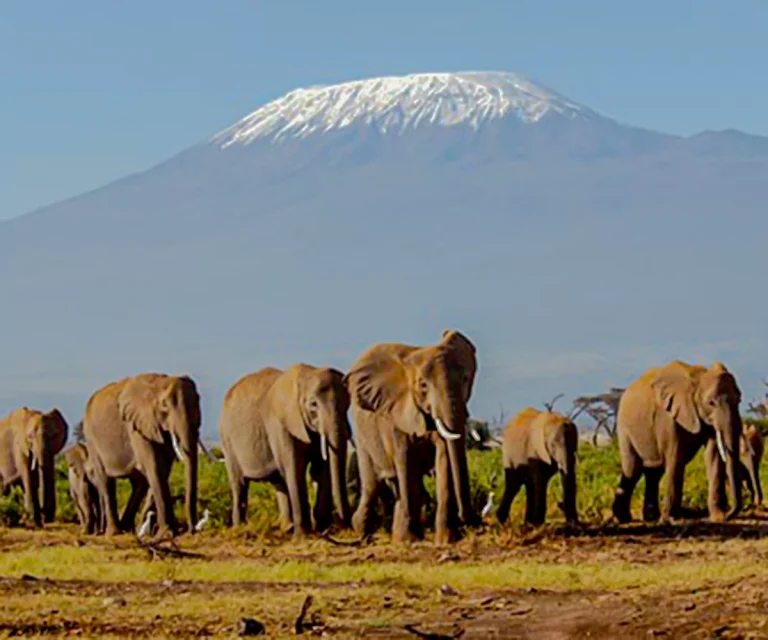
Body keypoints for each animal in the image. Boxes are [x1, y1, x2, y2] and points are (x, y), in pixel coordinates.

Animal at [84, 372, 204, 536]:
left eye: (198, 400)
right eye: (164, 405)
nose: (192, 530)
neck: (160, 383)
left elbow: (163, 470)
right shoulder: (135, 425)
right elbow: (155, 467)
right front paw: (167, 533)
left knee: (139, 483)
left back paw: (127, 528)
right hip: (92, 439)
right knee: (105, 480)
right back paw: (115, 532)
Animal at [218, 362, 352, 536]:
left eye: (348, 403)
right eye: (313, 405)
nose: (346, 525)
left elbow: (320, 467)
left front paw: (322, 527)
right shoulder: (281, 423)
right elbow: (295, 467)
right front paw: (303, 535)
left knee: (279, 480)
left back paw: (286, 527)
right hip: (227, 440)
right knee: (239, 483)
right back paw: (240, 528)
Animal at [344, 330, 476, 544]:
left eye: (465, 379)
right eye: (423, 385)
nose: (469, 520)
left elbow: (444, 459)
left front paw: (446, 540)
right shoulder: (396, 414)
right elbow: (404, 459)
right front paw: (409, 539)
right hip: (362, 435)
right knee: (373, 483)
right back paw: (364, 532)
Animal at [612, 362, 744, 524]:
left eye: (739, 400)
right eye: (711, 403)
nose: (729, 513)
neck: (698, 378)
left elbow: (713, 457)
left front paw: (718, 517)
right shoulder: (667, 417)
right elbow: (676, 457)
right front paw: (672, 519)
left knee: (654, 472)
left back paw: (651, 517)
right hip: (624, 428)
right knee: (633, 469)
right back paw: (623, 518)